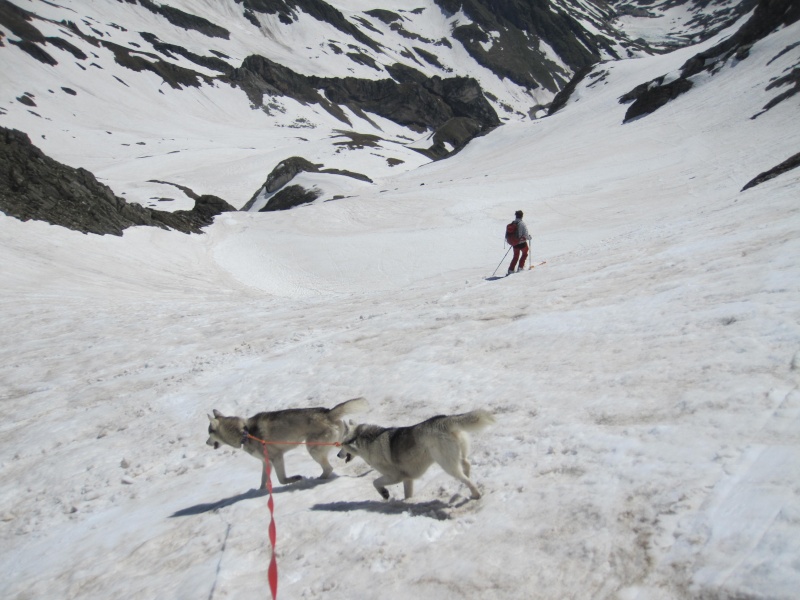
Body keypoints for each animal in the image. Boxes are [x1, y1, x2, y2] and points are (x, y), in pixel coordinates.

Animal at [206, 398, 368, 488]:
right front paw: (261, 491)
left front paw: (294, 479)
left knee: (329, 468)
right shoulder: (266, 461)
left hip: (312, 448)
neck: (245, 431)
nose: (206, 443)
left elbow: (282, 479)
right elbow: (263, 480)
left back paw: (317, 480)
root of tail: (327, 412)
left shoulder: (276, 457)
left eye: (208, 433)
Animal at [338, 410, 494, 500]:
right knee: (466, 464)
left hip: (447, 464)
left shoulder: (395, 477)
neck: (361, 439)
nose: (338, 455)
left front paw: (385, 494)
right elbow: (408, 496)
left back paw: (475, 494)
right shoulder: (407, 479)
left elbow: (375, 482)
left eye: (340, 445)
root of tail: (443, 419)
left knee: (463, 477)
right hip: (457, 455)